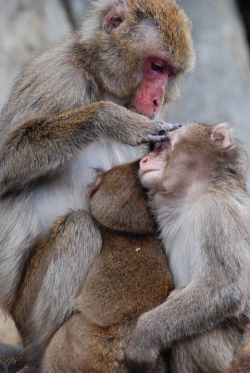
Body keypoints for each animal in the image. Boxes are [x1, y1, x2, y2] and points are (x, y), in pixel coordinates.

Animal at [0, 0, 195, 364]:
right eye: (156, 67)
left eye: (170, 73)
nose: (158, 100)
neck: (102, 83)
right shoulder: (55, 76)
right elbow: (4, 161)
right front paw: (111, 119)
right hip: (24, 307)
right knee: (78, 228)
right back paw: (46, 348)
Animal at [125, 120, 250, 370]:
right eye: (153, 147)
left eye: (162, 145)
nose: (144, 160)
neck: (193, 195)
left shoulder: (217, 213)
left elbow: (222, 289)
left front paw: (143, 337)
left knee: (194, 337)